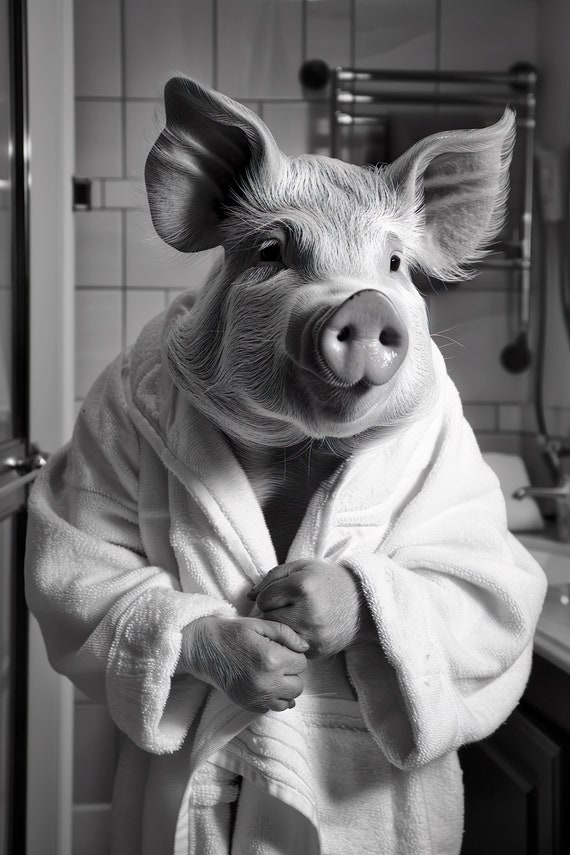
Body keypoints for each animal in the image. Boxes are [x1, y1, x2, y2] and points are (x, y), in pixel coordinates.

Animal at [25, 77, 546, 855]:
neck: (295, 441)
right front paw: (260, 643)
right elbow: (93, 558)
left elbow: (477, 574)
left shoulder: (456, 461)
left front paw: (297, 592)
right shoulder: (106, 430)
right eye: (273, 250)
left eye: (395, 265)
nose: (365, 305)